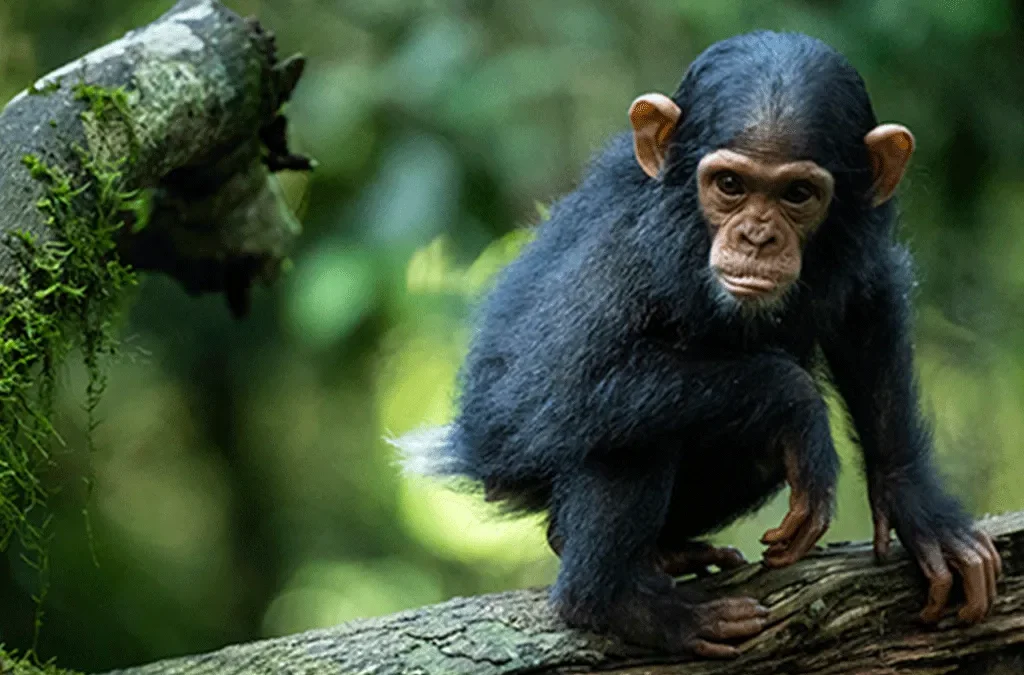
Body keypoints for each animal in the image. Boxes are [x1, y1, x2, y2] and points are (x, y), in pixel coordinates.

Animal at [396, 31, 1001, 658]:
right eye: (730, 185)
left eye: (798, 193)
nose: (757, 237)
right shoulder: (623, 253)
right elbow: (541, 391)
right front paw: (800, 405)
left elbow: (868, 303)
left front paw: (919, 506)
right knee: (626, 432)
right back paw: (624, 604)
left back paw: (663, 553)